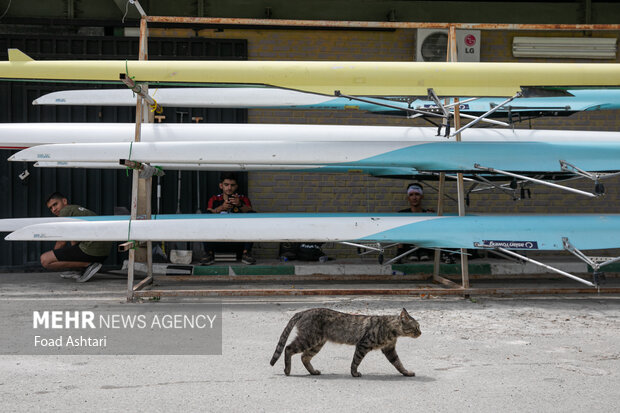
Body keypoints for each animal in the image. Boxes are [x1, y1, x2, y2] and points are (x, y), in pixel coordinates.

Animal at [268, 306, 418, 376]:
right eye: (416, 327)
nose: (420, 333)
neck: (392, 330)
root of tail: (303, 311)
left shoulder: (389, 349)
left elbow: (398, 363)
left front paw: (406, 372)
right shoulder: (363, 345)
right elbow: (356, 361)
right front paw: (354, 373)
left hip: (317, 343)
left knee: (304, 357)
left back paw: (313, 371)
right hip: (308, 339)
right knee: (288, 349)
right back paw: (287, 370)